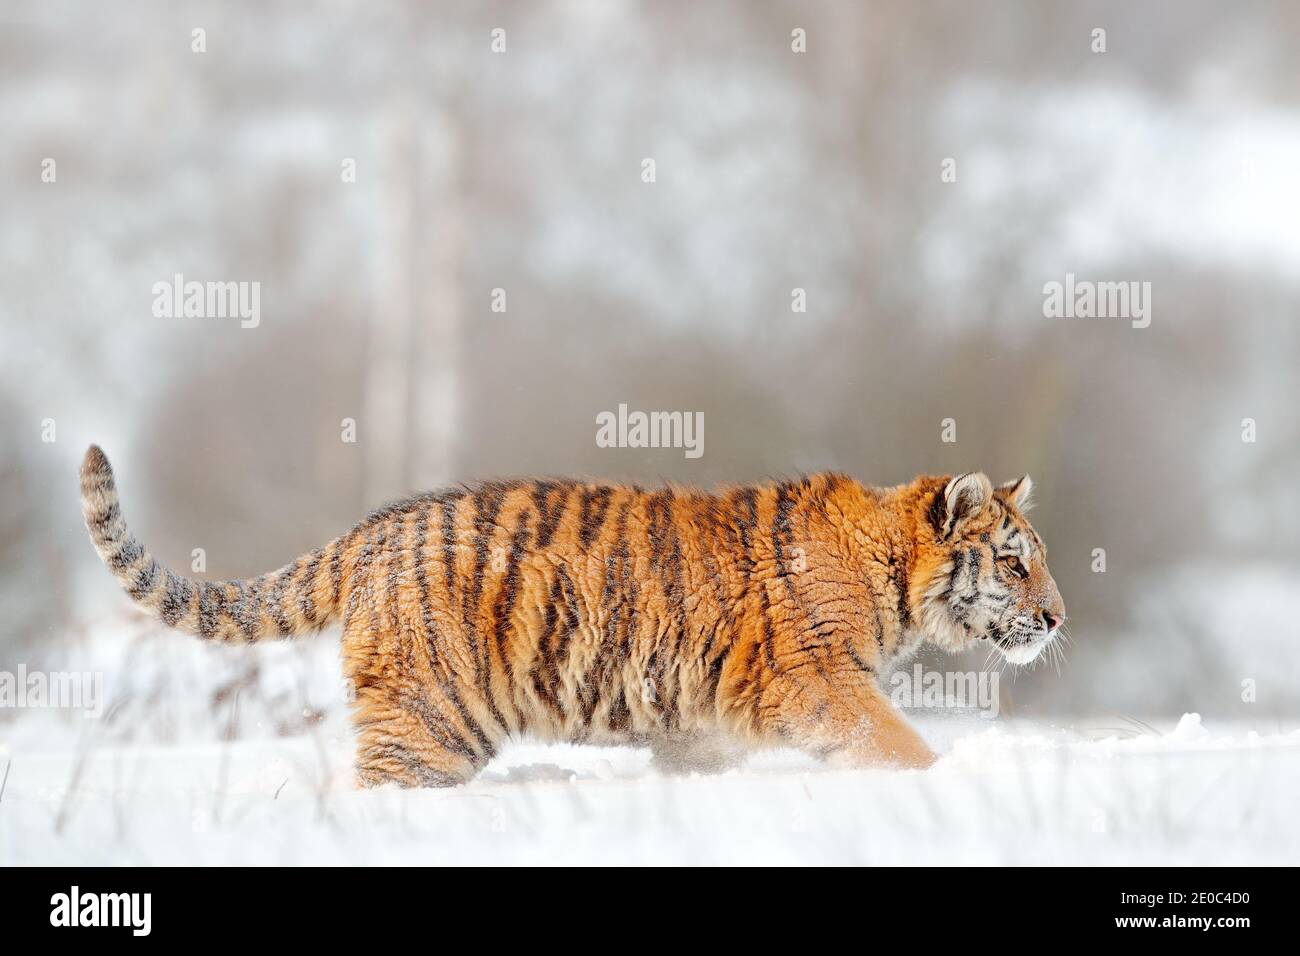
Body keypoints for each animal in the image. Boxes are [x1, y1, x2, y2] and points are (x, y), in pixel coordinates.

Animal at [79, 444, 1066, 786]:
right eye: (1014, 562)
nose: (1059, 618)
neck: (891, 575)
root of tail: (374, 529)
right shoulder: (820, 681)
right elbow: (893, 742)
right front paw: (943, 782)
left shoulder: (702, 717)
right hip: (432, 720)